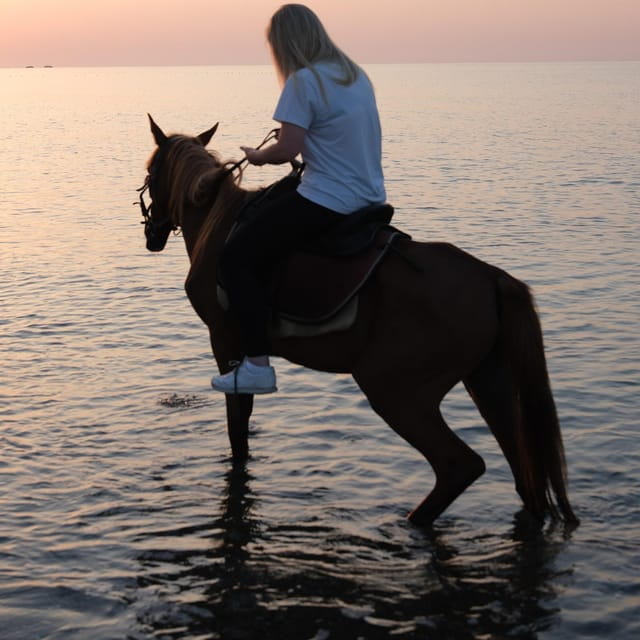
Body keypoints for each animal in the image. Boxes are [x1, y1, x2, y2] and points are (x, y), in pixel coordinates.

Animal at [138, 115, 577, 527]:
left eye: (150, 170)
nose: (152, 233)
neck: (219, 220)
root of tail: (490, 277)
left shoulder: (226, 341)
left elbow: (238, 424)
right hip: (489, 382)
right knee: (524, 475)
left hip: (395, 389)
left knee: (460, 465)